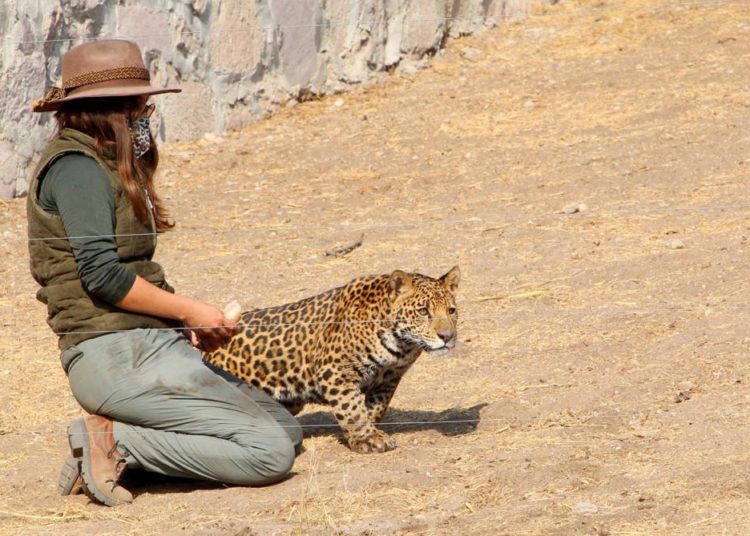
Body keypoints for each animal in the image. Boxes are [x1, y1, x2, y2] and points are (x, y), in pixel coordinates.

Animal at [204, 266, 460, 453]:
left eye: (452, 310)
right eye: (423, 312)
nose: (447, 337)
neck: (401, 344)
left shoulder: (389, 378)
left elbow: (375, 407)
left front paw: (369, 430)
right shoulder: (335, 372)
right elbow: (352, 407)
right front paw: (367, 439)